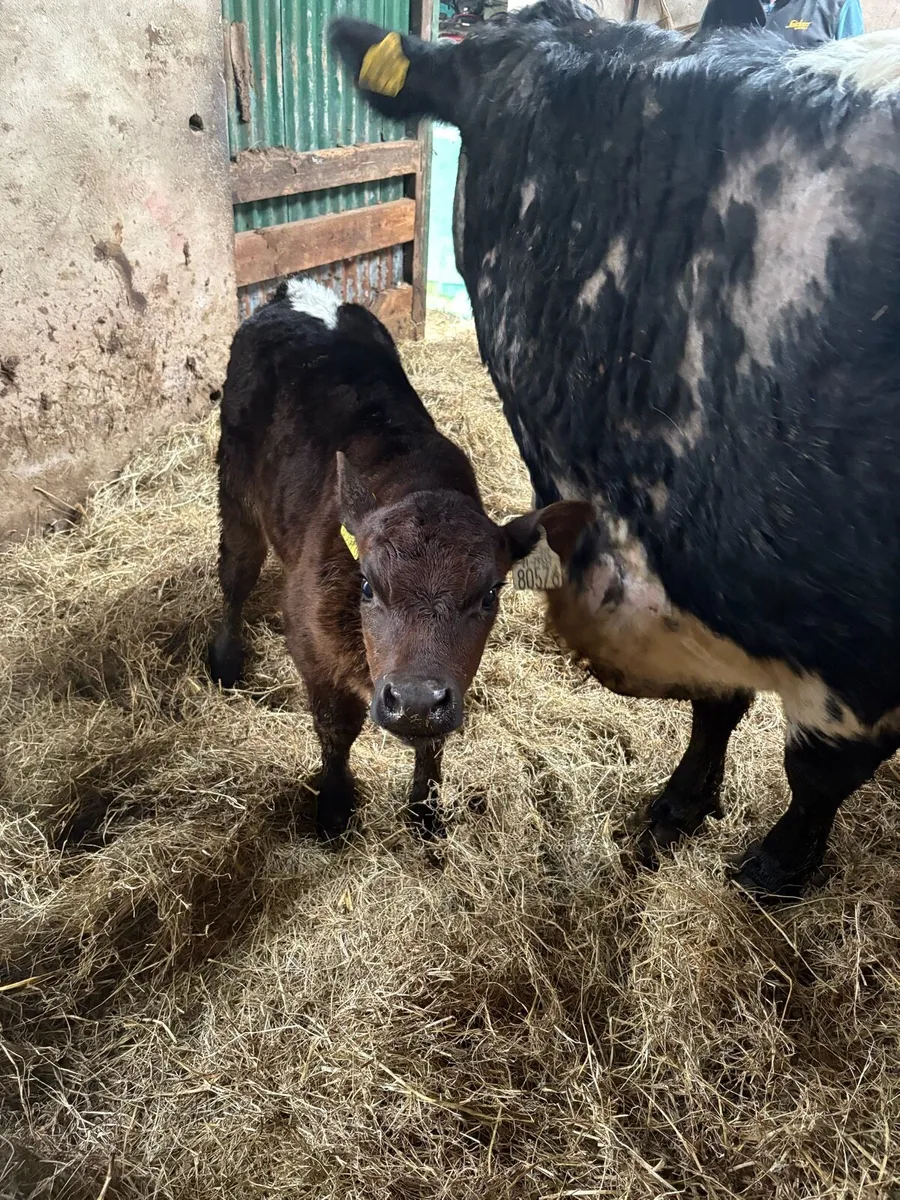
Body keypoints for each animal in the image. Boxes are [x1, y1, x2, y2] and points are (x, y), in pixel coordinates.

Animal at [209, 279, 592, 842]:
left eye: (491, 594)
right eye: (367, 585)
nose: (412, 699)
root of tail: (295, 291)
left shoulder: (449, 683)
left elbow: (434, 741)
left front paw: (425, 811)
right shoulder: (311, 650)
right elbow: (336, 731)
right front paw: (334, 807)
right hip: (236, 488)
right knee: (236, 572)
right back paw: (225, 660)